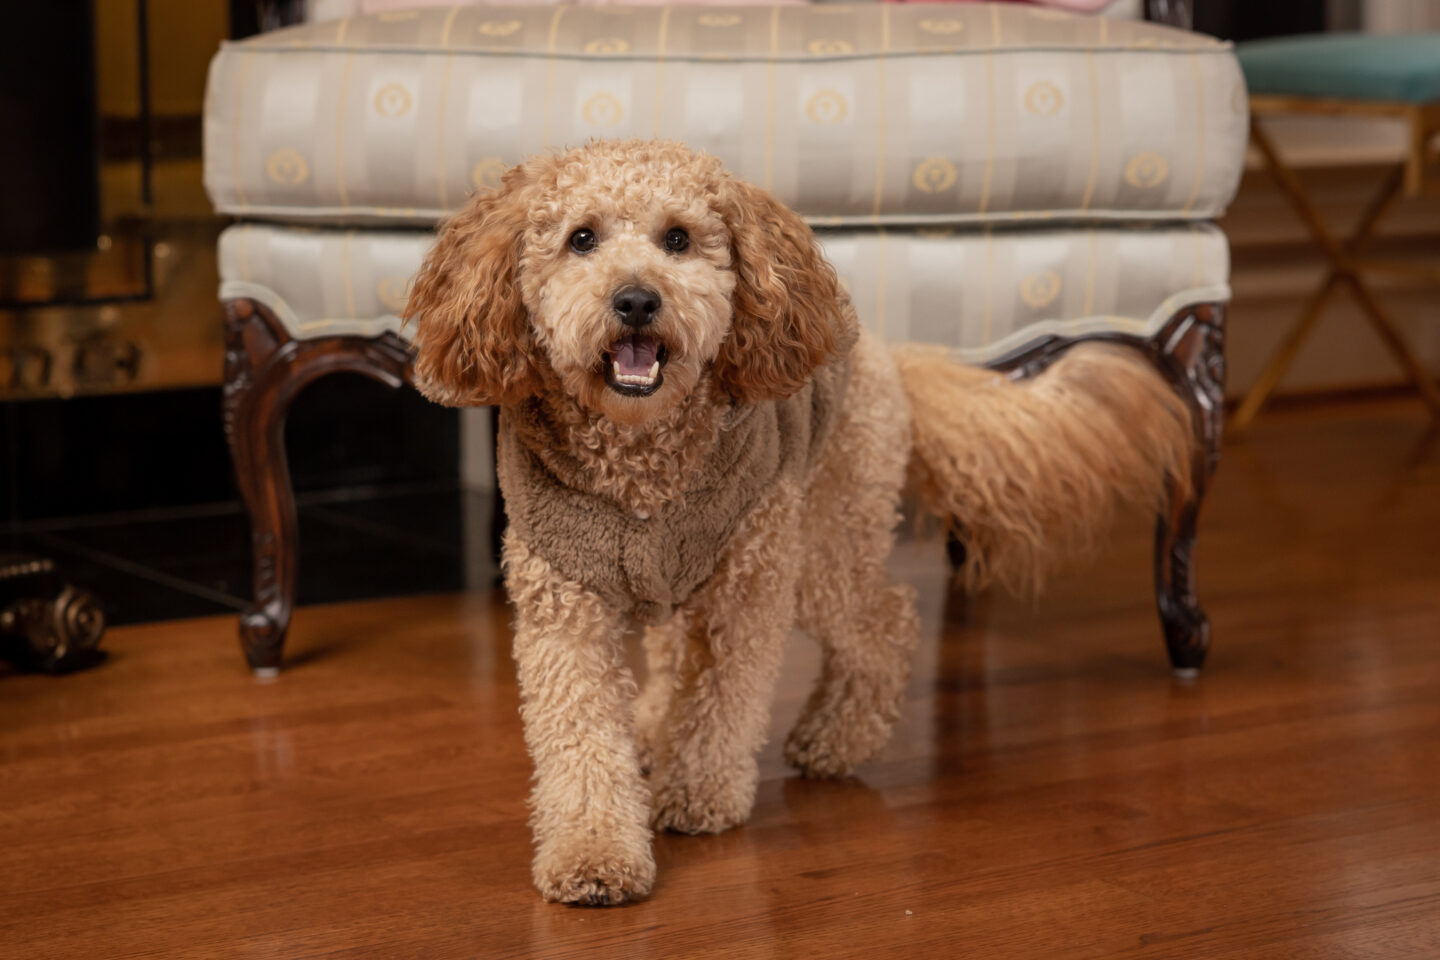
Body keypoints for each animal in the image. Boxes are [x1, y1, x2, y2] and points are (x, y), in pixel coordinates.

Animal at [406, 138, 1192, 903]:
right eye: (581, 238)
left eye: (678, 238)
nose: (635, 300)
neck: (642, 457)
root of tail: (887, 356)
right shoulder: (566, 607)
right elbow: (582, 738)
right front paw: (594, 853)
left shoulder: (750, 587)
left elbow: (729, 702)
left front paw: (700, 795)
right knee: (688, 651)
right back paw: (661, 726)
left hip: (820, 546)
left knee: (885, 622)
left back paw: (834, 737)